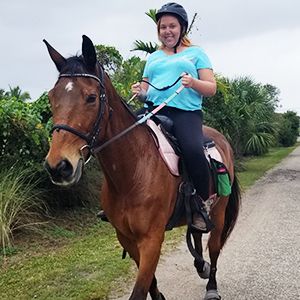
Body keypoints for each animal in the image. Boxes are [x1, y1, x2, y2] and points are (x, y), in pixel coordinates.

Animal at [43, 35, 241, 300]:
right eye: (51, 97)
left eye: (91, 97)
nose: (59, 166)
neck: (132, 173)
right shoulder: (126, 238)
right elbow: (151, 284)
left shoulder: (151, 240)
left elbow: (140, 289)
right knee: (197, 233)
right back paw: (201, 266)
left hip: (219, 212)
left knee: (214, 247)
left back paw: (211, 285)